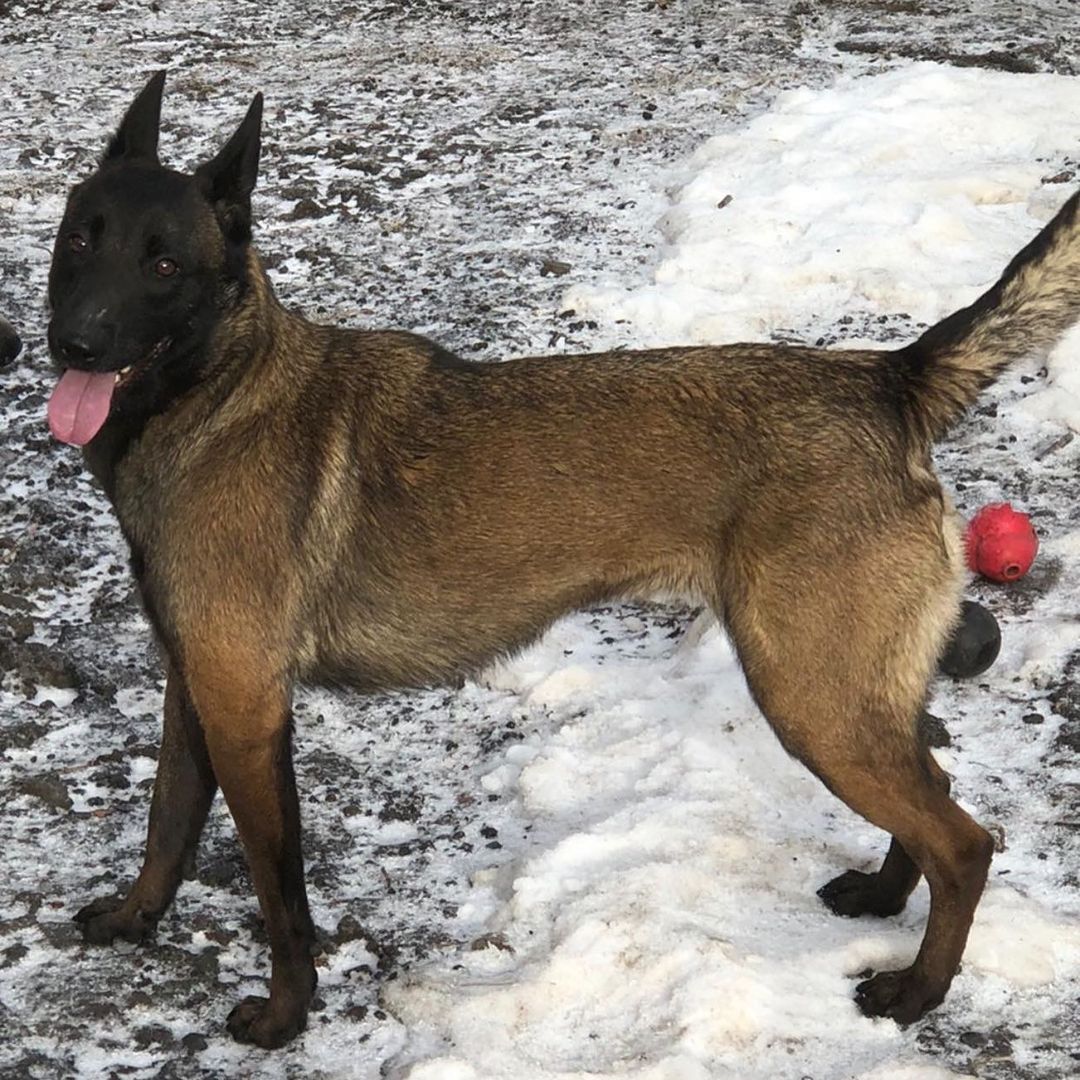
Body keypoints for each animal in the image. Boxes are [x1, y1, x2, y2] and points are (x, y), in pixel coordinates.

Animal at [44, 69, 1080, 1045]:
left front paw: (286, 1015)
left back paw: (918, 990)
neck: (214, 393)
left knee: (964, 843)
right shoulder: (196, 691)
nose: (73, 340)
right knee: (931, 787)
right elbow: (167, 824)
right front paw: (135, 921)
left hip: (812, 700)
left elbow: (278, 890)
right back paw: (884, 894)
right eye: (80, 240)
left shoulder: (246, 710)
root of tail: (887, 379)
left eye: (165, 262)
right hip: (851, 696)